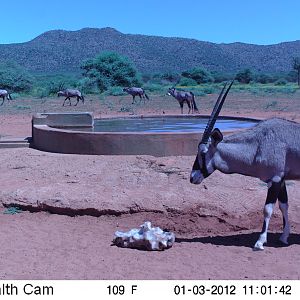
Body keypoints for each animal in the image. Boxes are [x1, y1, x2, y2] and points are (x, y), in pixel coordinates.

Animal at [191, 81, 298, 250]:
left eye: (203, 152)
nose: (192, 177)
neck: (258, 144)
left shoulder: (274, 179)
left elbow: (267, 209)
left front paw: (260, 242)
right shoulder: (281, 180)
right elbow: (284, 205)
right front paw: (284, 237)